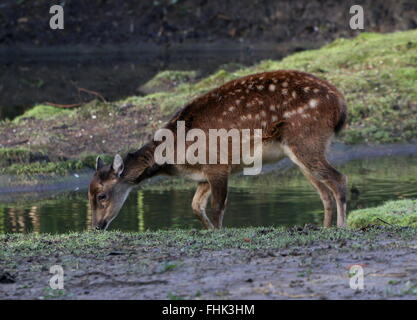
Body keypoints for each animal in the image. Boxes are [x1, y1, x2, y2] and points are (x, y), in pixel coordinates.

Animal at [89, 70, 346, 230]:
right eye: (89, 194)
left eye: (102, 195)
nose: (96, 226)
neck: (175, 156)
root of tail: (341, 105)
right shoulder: (203, 175)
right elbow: (195, 206)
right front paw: (210, 231)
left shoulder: (218, 164)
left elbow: (217, 208)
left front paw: (218, 231)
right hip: (302, 151)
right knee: (324, 191)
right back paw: (324, 227)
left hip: (306, 139)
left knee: (339, 179)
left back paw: (341, 227)